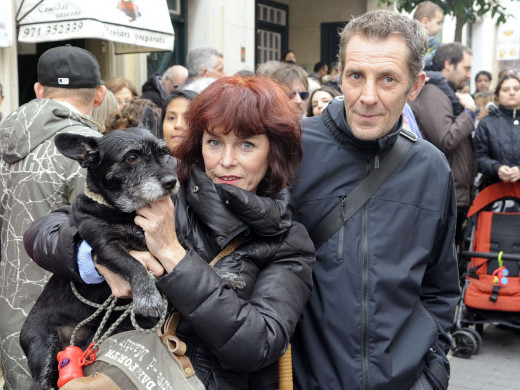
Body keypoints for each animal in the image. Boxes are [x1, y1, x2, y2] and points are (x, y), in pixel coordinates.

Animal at [20, 107, 180, 390]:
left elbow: (189, 252)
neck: (127, 213)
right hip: (44, 345)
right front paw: (148, 297)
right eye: (131, 157)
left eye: (163, 153)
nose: (172, 182)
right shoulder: (105, 248)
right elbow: (134, 265)